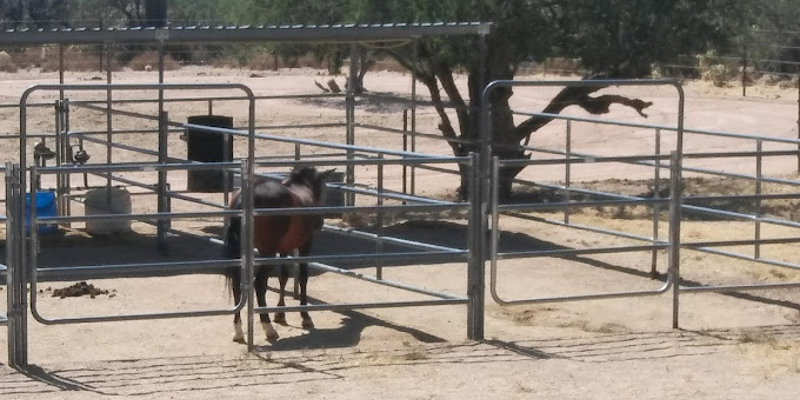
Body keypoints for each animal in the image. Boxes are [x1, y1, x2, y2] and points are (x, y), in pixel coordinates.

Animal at [223, 166, 330, 344]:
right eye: (322, 190)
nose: (320, 223)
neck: (303, 187)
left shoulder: (284, 248)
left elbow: (283, 276)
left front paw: (280, 313)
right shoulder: (305, 244)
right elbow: (302, 277)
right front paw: (305, 316)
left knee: (237, 286)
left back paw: (238, 331)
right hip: (268, 252)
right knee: (259, 285)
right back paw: (269, 329)